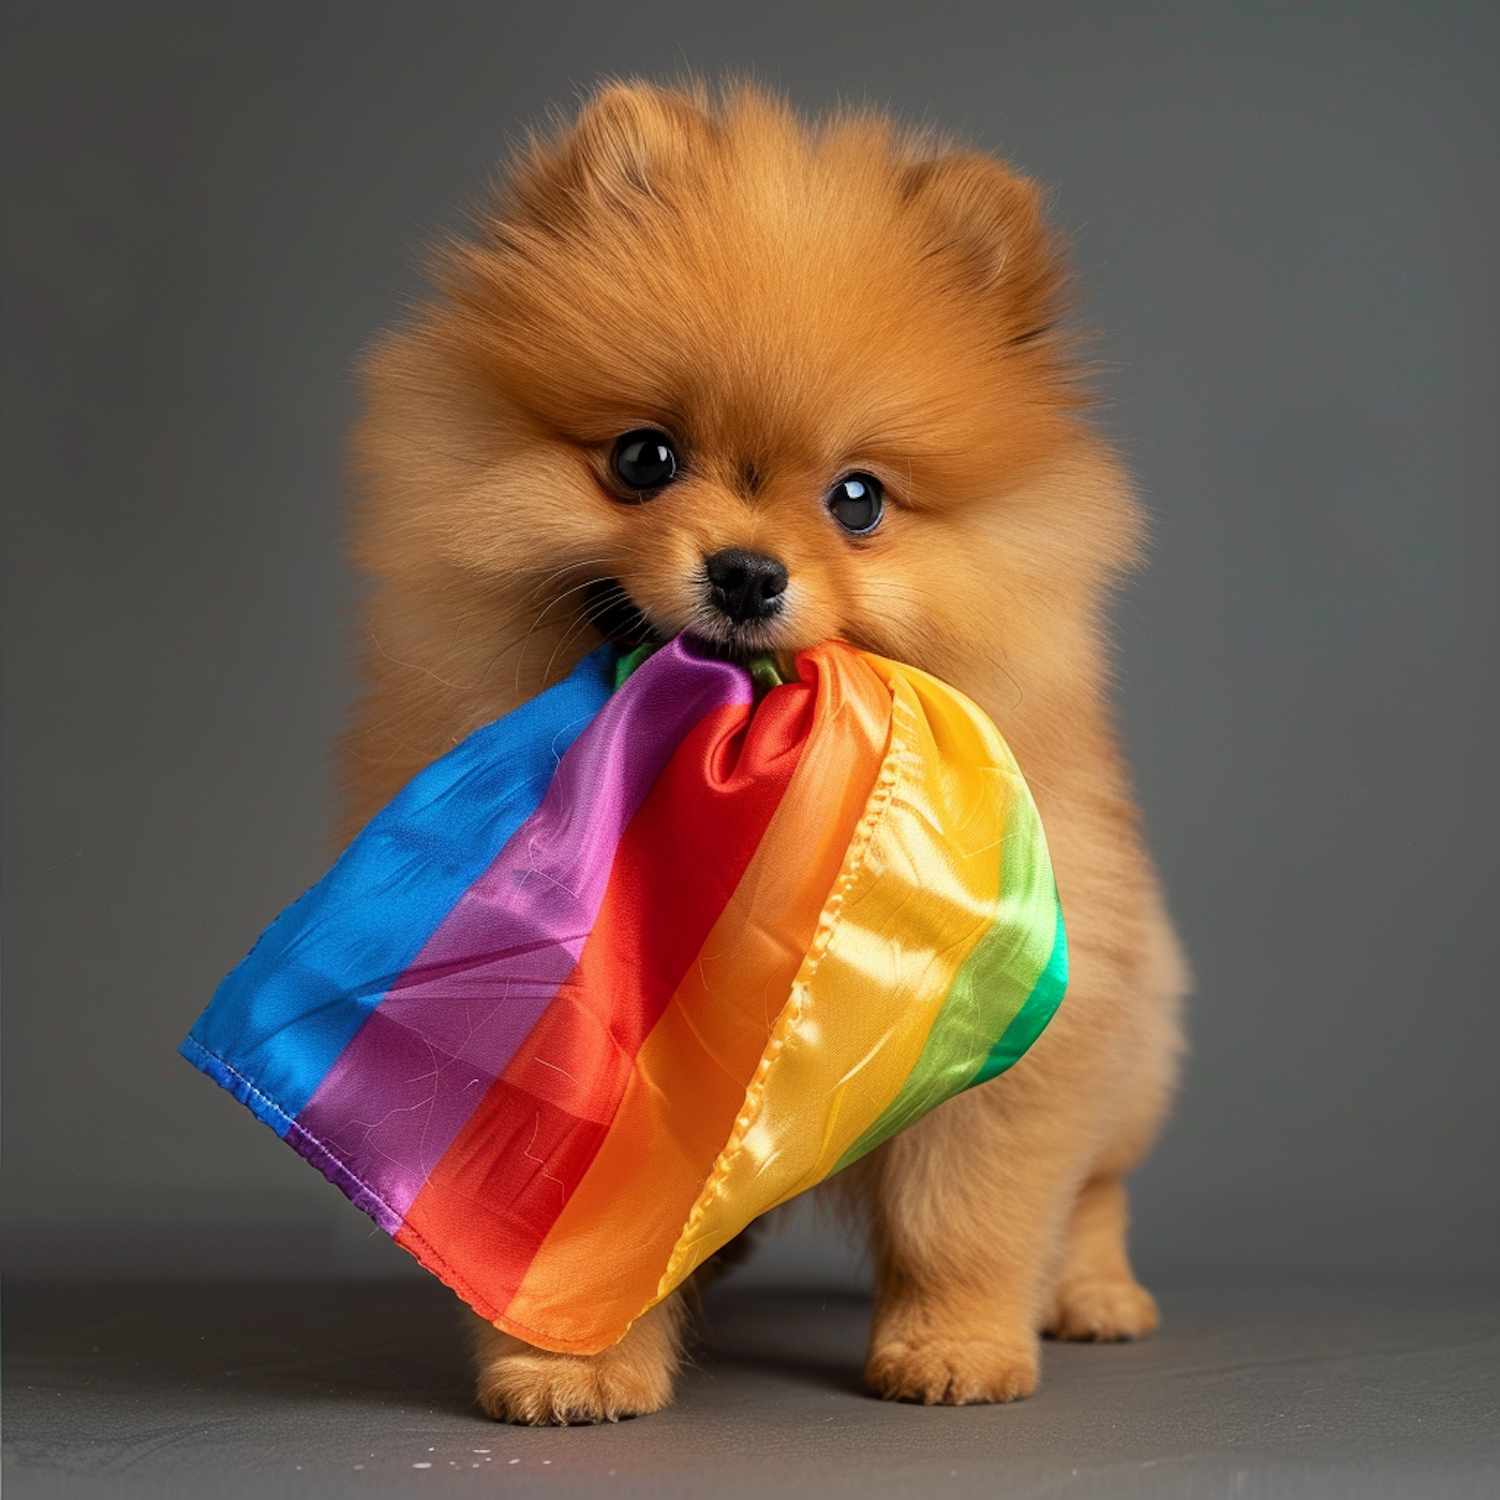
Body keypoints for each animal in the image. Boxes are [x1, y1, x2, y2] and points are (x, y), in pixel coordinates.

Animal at [340, 79, 1182, 1416]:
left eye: (858, 499)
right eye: (644, 458)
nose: (744, 571)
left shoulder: (1012, 1021)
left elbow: (967, 1214)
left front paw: (956, 1347)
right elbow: (566, 1227)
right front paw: (567, 1365)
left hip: (1136, 1034)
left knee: (1095, 1185)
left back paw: (1092, 1295)